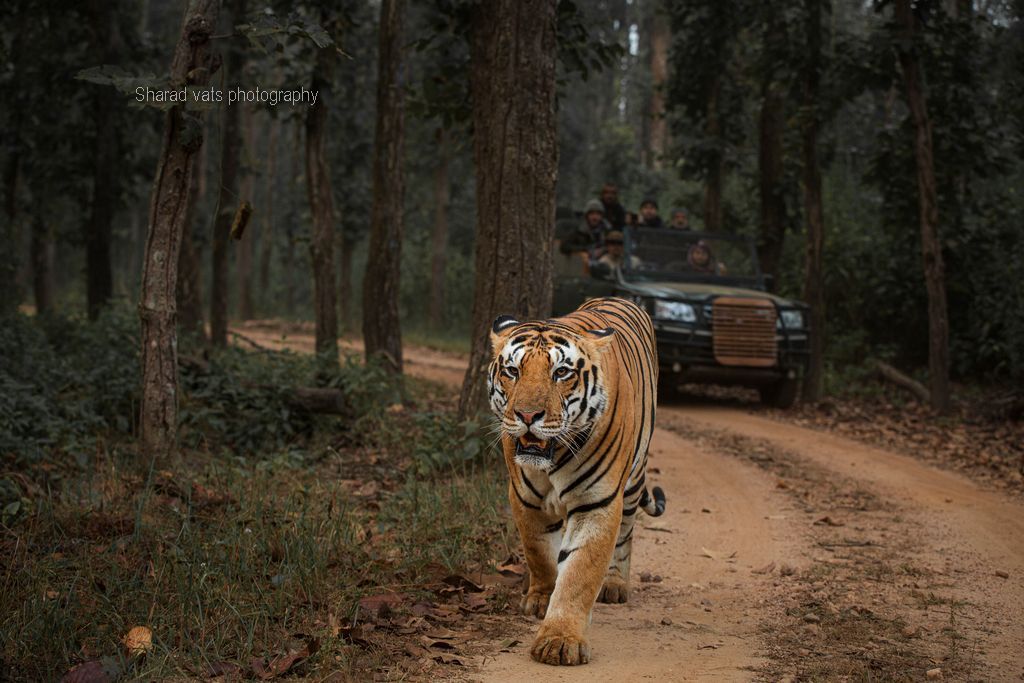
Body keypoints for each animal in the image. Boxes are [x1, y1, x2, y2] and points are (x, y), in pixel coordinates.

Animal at [485, 296, 663, 663]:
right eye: (513, 371)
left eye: (561, 373)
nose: (527, 415)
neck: (552, 458)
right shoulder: (524, 498)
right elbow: (539, 552)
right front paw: (540, 598)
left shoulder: (596, 502)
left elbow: (580, 572)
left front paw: (560, 639)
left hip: (634, 480)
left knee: (626, 533)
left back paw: (615, 585)